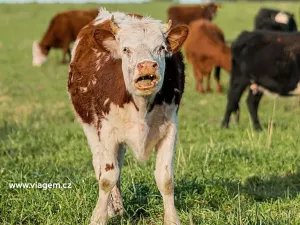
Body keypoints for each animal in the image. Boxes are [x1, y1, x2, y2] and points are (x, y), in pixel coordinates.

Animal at [67, 7, 188, 224]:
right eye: (126, 49)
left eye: (161, 48)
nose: (147, 66)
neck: (142, 105)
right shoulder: (106, 131)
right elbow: (107, 178)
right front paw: (99, 216)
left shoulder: (170, 129)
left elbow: (165, 179)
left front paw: (172, 219)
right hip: (91, 129)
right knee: (100, 165)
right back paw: (112, 209)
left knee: (119, 165)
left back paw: (118, 208)